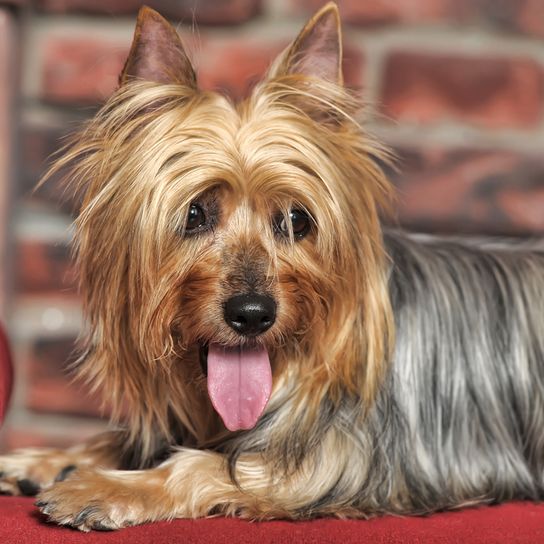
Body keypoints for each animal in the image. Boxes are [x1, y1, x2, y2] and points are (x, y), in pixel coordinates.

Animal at [1, 1, 544, 532]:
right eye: (194, 214)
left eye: (296, 219)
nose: (252, 314)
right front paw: (47, 460)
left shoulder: (338, 464)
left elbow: (203, 463)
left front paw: (103, 487)